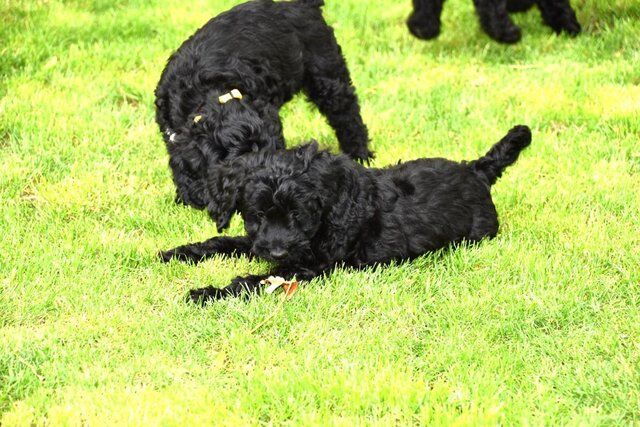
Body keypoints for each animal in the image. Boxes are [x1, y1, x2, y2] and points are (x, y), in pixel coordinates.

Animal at [155, 0, 372, 209]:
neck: (207, 93)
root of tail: (302, 5)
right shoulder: (172, 133)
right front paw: (187, 199)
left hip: (326, 71)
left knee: (347, 114)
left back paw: (360, 156)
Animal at [162, 125, 532, 302]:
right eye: (257, 214)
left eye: (299, 214)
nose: (277, 251)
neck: (330, 210)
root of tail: (476, 171)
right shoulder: (262, 242)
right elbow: (225, 242)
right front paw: (179, 252)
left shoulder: (309, 265)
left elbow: (252, 281)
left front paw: (208, 293)